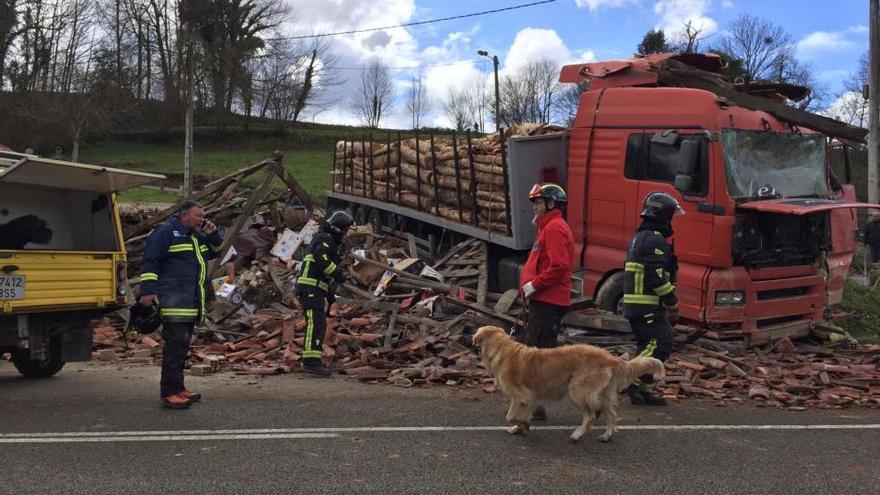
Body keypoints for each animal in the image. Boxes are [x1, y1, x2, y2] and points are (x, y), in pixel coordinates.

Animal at [478, 328, 664, 444]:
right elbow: (522, 415)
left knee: (590, 416)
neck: (504, 350)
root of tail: (610, 357)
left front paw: (522, 425)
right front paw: (520, 427)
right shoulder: (531, 399)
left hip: (577, 391)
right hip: (603, 394)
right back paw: (606, 436)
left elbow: (510, 416)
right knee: (611, 415)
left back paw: (577, 435)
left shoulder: (521, 397)